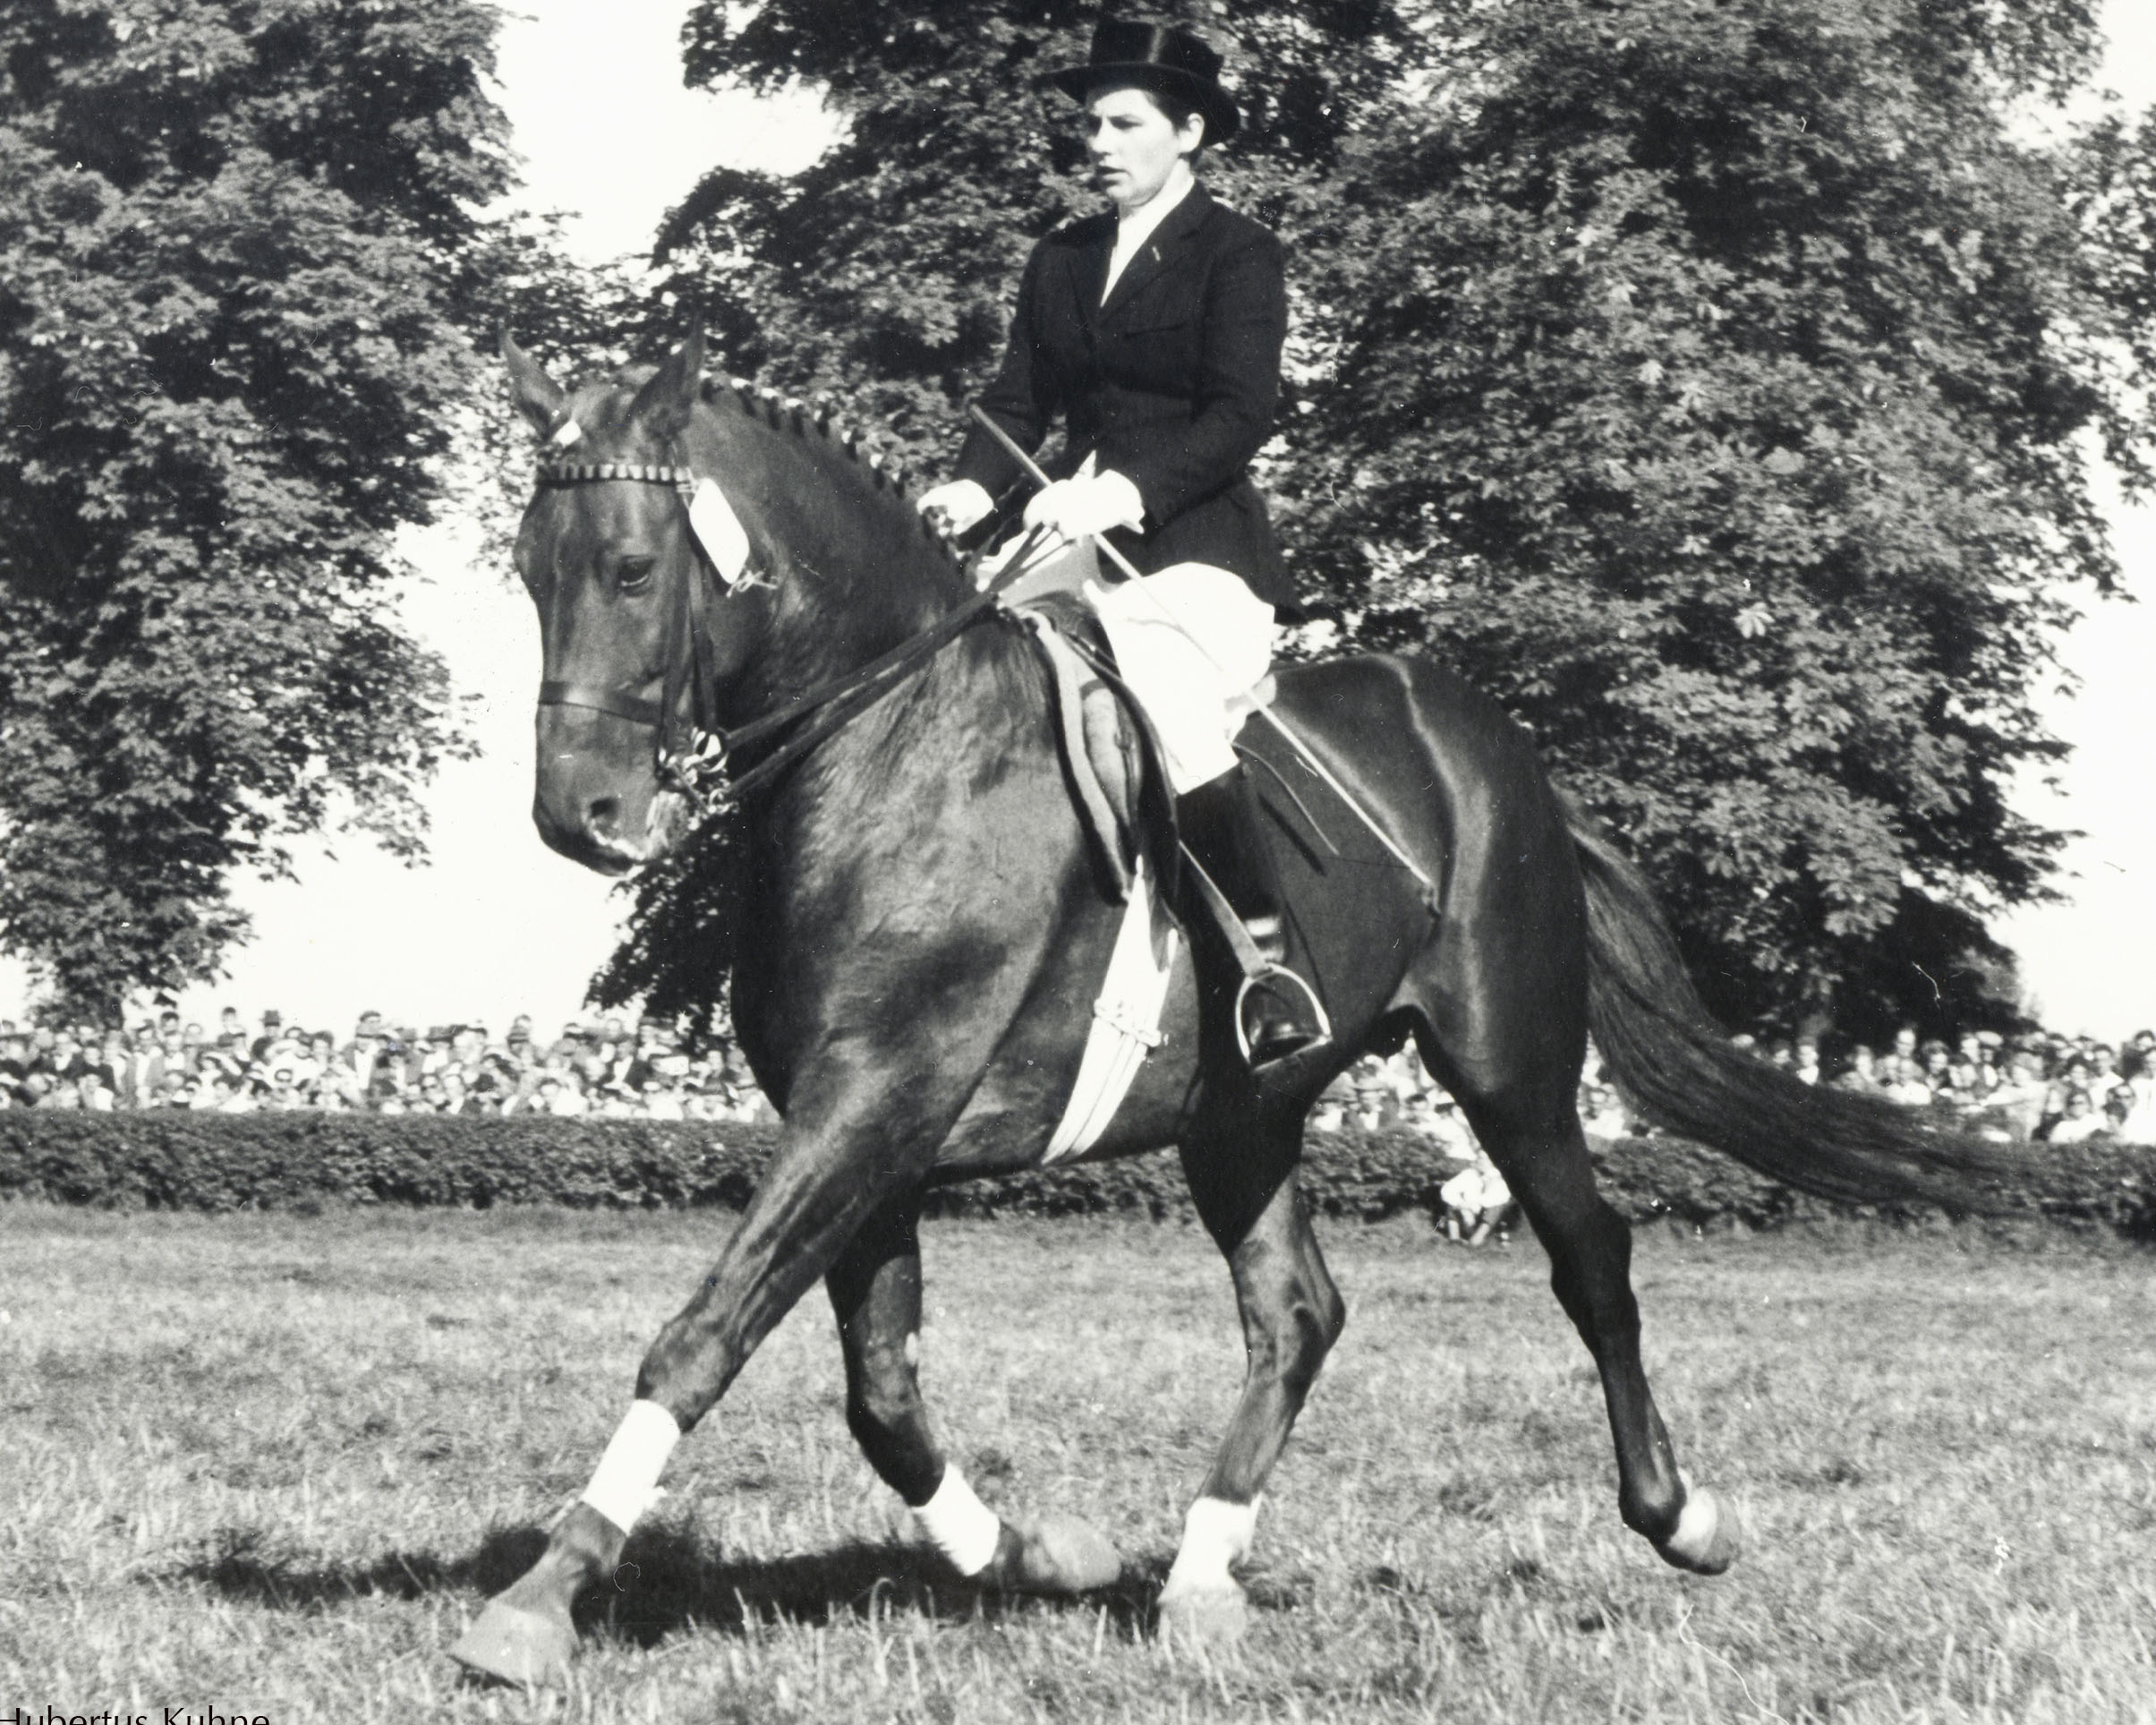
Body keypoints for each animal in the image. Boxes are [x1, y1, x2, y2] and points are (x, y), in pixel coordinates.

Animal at [450, 334, 2000, 1681]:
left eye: (633, 565)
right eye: (527, 573)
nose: (577, 817)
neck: (892, 745)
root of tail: (1495, 744)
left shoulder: (875, 1101)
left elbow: (706, 1331)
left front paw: (540, 1595)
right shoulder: (867, 1122)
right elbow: (880, 1388)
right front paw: (1036, 1551)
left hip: (1508, 1064)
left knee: (1590, 1261)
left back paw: (1680, 1513)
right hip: (1240, 1111)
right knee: (1296, 1312)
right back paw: (1197, 1576)